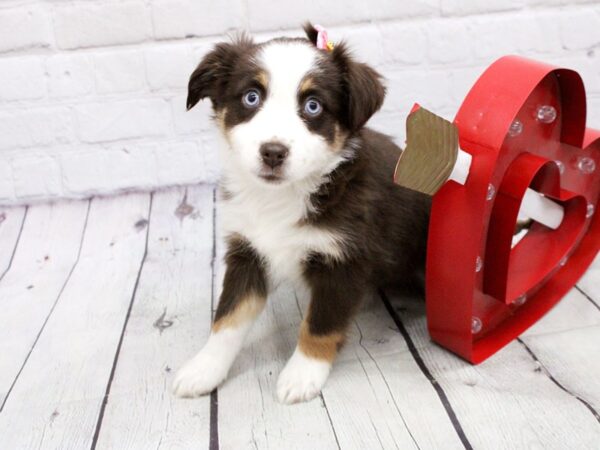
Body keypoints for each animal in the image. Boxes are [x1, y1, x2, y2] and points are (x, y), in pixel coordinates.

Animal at [173, 23, 432, 404]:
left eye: (313, 105)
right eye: (251, 97)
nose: (273, 152)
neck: (282, 196)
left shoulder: (344, 260)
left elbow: (320, 324)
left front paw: (301, 376)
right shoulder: (248, 251)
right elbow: (228, 317)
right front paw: (203, 370)